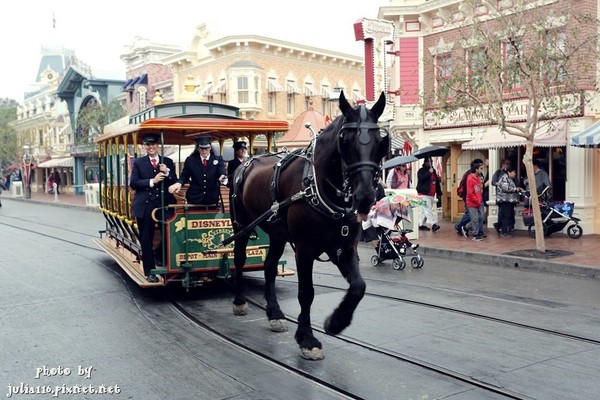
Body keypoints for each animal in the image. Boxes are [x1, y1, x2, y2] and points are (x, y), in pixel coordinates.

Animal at [230, 90, 390, 360]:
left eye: (380, 141)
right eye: (345, 139)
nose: (366, 196)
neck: (319, 186)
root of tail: (246, 162)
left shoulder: (345, 248)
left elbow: (359, 286)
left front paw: (336, 322)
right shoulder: (304, 250)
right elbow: (307, 292)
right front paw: (307, 339)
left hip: (277, 234)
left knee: (269, 267)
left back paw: (274, 313)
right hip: (242, 225)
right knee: (239, 259)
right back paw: (240, 301)